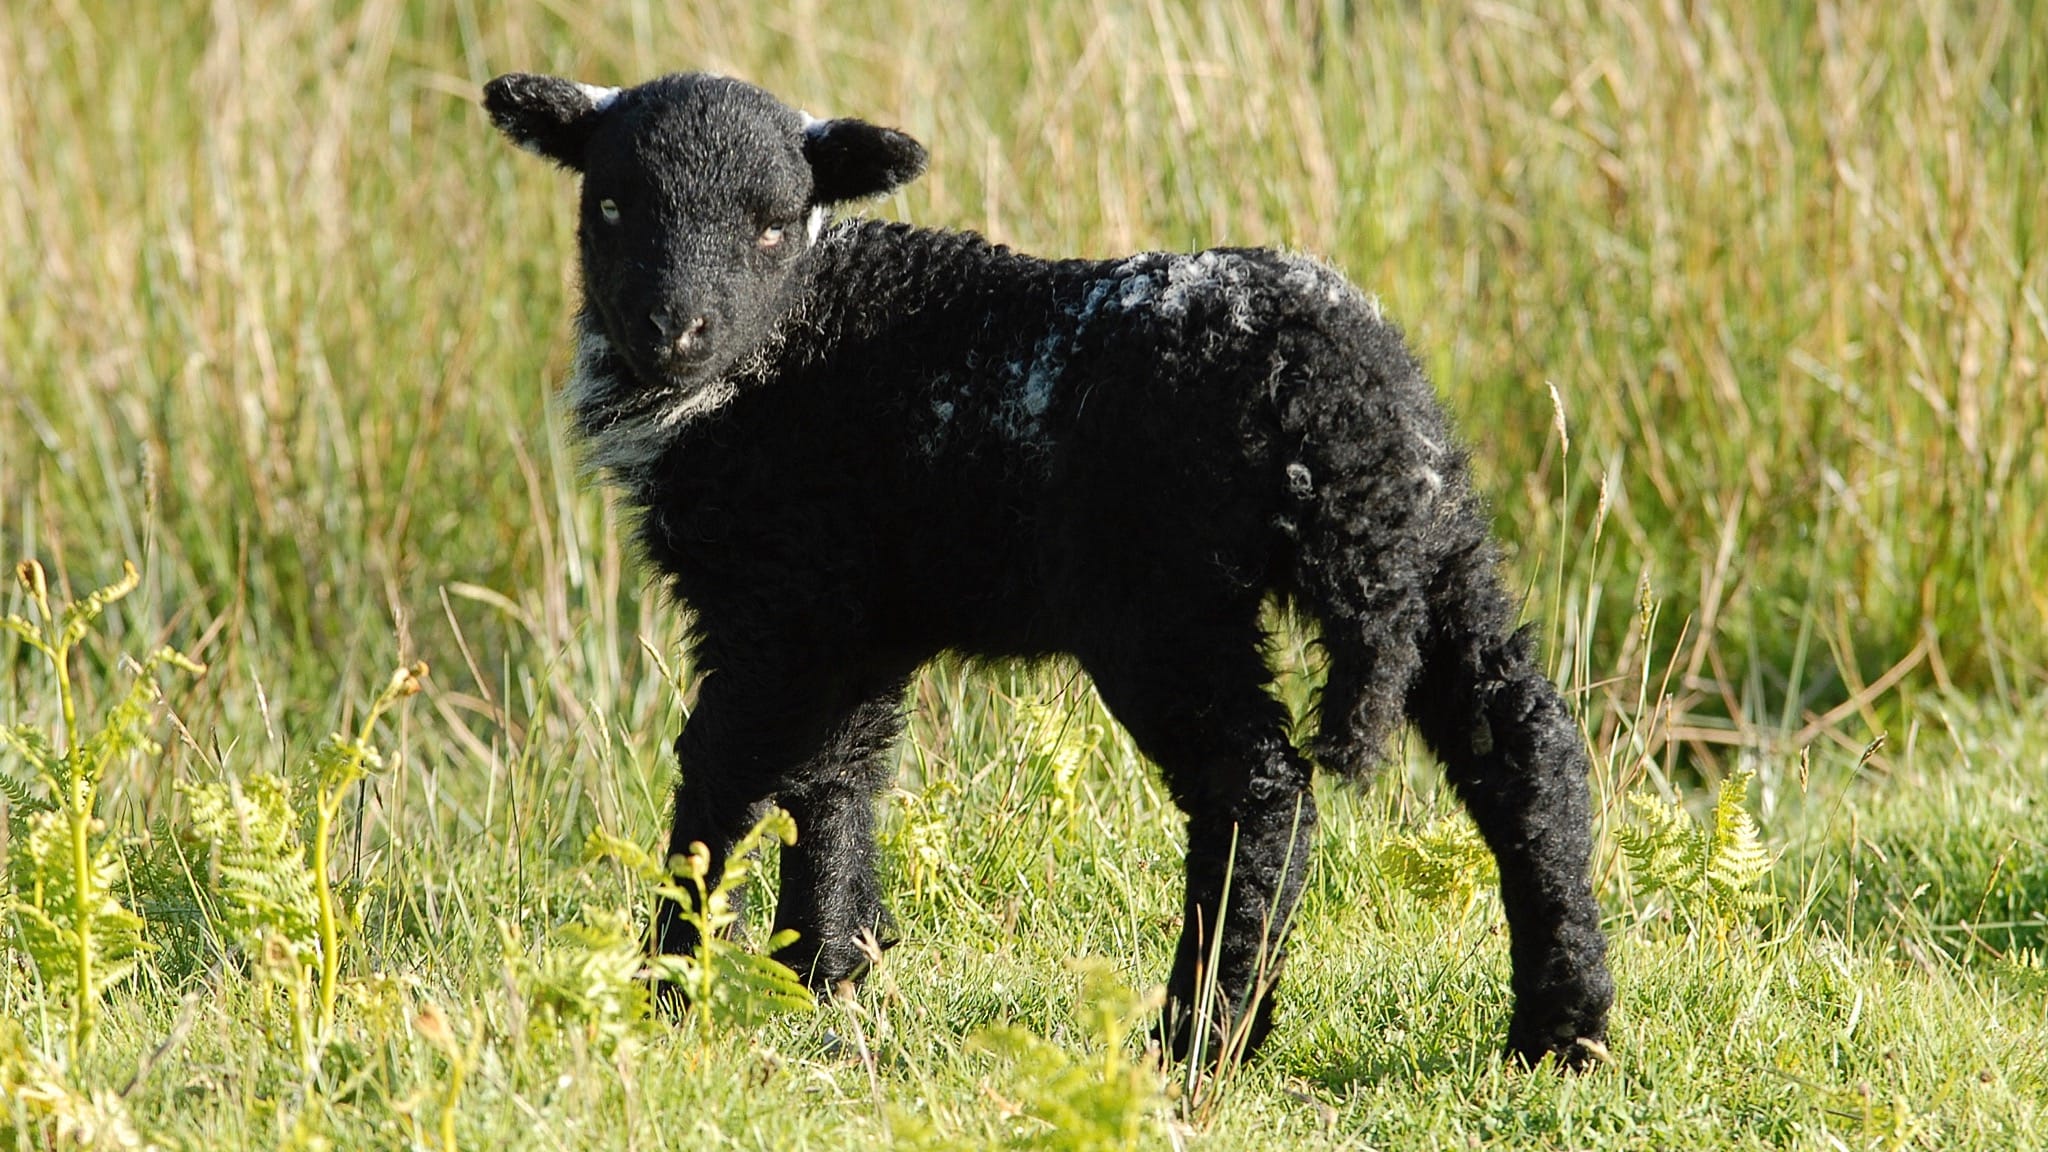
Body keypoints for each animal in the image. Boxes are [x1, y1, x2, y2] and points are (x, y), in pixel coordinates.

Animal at [483, 69, 1613, 1057]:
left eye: (772, 222)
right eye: (611, 205)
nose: (673, 332)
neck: (796, 333)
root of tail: (1333, 392)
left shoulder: (777, 602)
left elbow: (724, 779)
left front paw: (666, 990)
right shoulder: (852, 615)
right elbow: (837, 778)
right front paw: (824, 971)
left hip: (1163, 603)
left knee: (1259, 797)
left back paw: (1199, 1041)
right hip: (1438, 546)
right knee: (1525, 748)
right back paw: (1561, 1029)